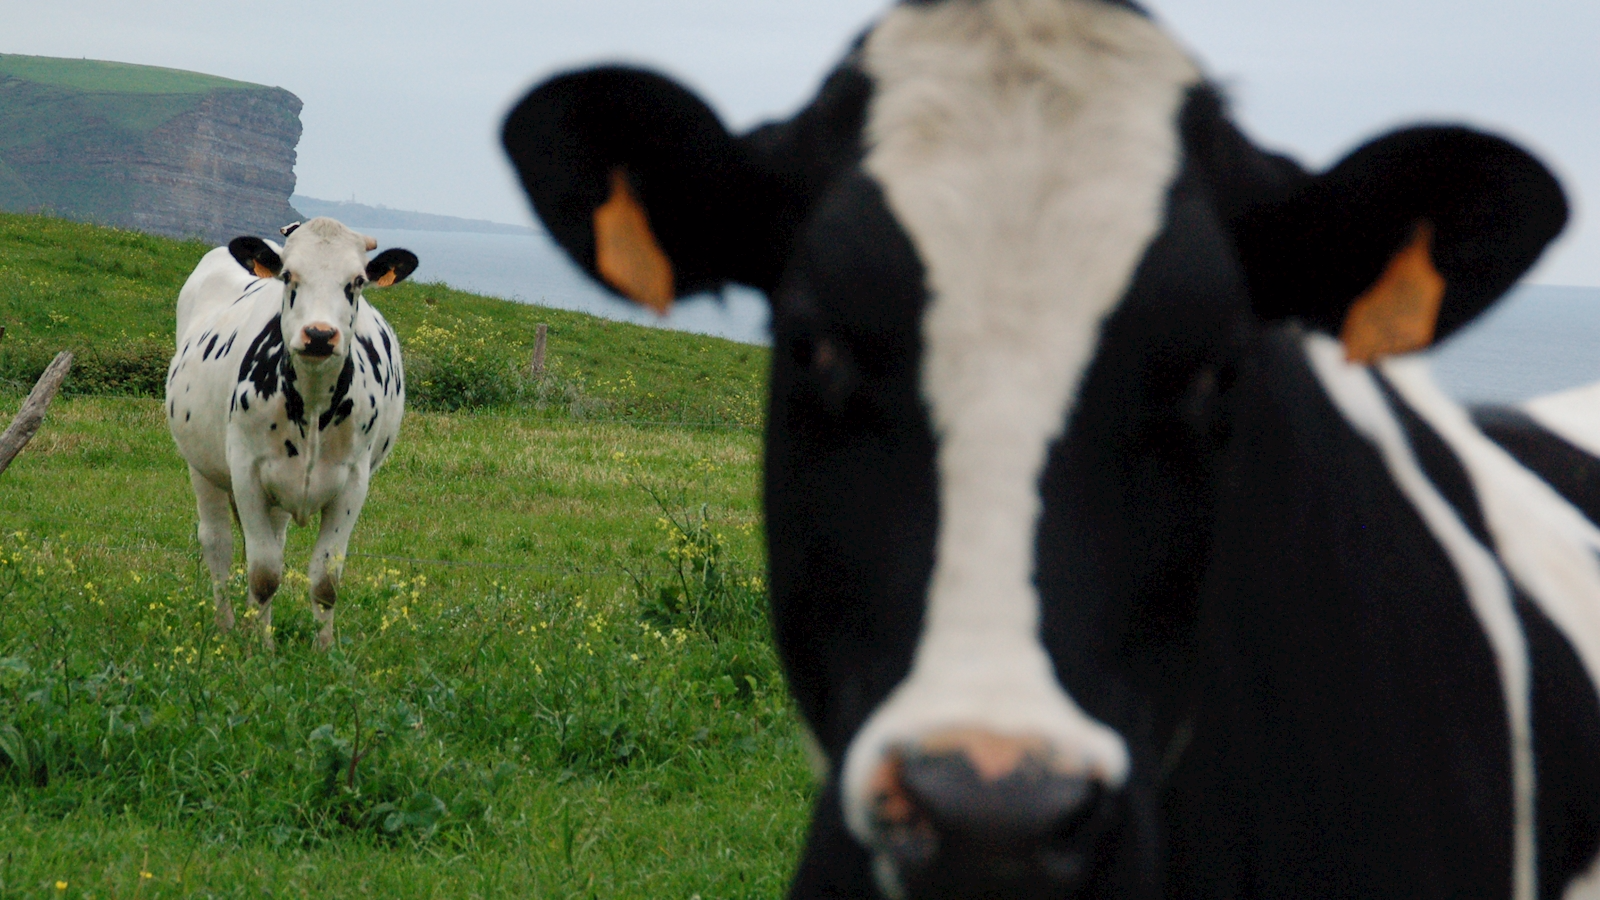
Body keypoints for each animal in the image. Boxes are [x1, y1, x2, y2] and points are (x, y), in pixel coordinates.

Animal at [166, 217, 417, 651]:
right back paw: (227, 626)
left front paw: (323, 651)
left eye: (357, 282)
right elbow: (264, 573)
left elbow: (325, 580)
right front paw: (259, 649)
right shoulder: (246, 472)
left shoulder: (354, 481)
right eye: (287, 276)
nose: (319, 334)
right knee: (218, 543)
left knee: (273, 540)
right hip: (202, 466)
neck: (313, 404)